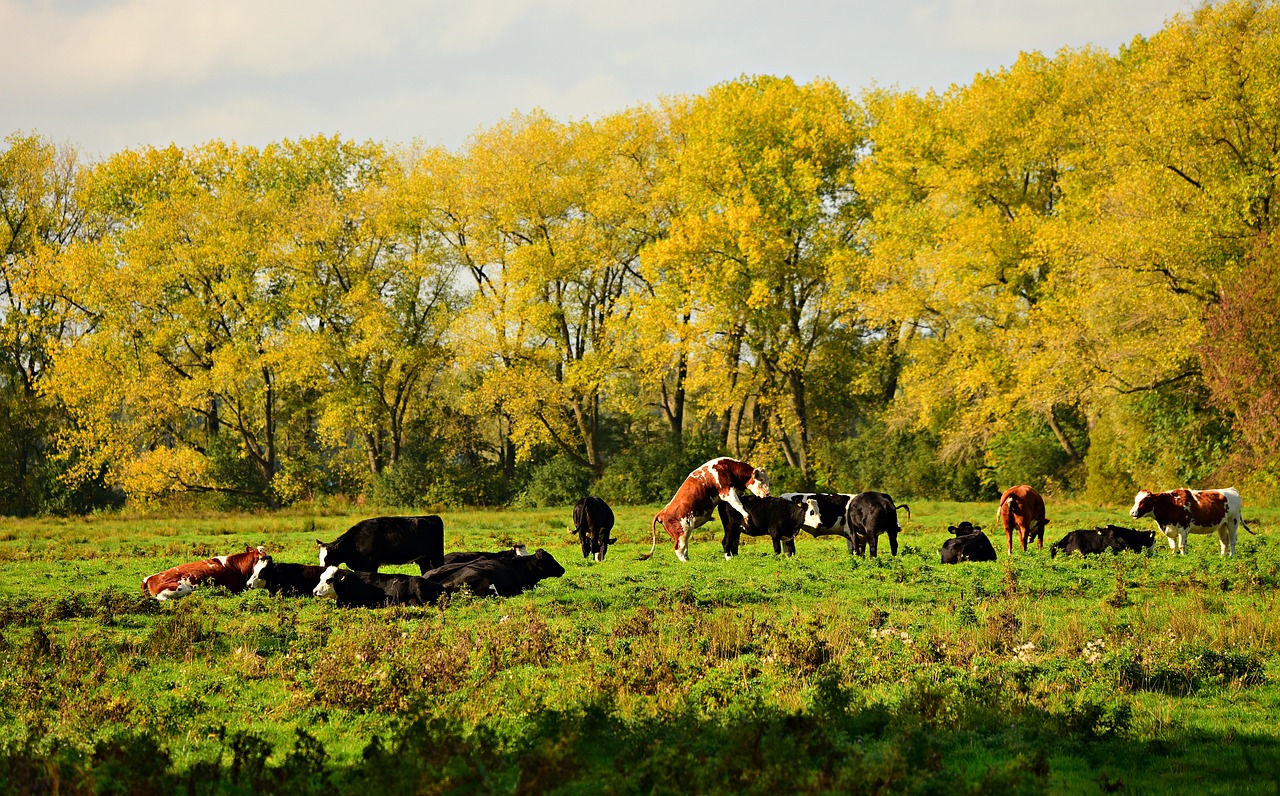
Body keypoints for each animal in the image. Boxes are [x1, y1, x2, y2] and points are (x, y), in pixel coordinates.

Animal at [314, 514, 445, 575]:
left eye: (328, 557)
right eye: (319, 556)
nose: (321, 569)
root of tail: (433, 517)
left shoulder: (372, 564)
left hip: (436, 555)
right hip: (423, 559)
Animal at [1126, 486, 1254, 555]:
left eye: (1144, 501)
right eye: (1135, 500)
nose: (1132, 512)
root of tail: (1232, 489)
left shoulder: (1184, 528)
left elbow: (1182, 546)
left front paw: (1183, 557)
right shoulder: (1169, 530)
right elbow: (1173, 547)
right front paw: (1174, 557)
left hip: (1233, 521)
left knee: (1232, 541)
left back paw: (1231, 556)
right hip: (1222, 525)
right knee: (1224, 542)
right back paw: (1222, 557)